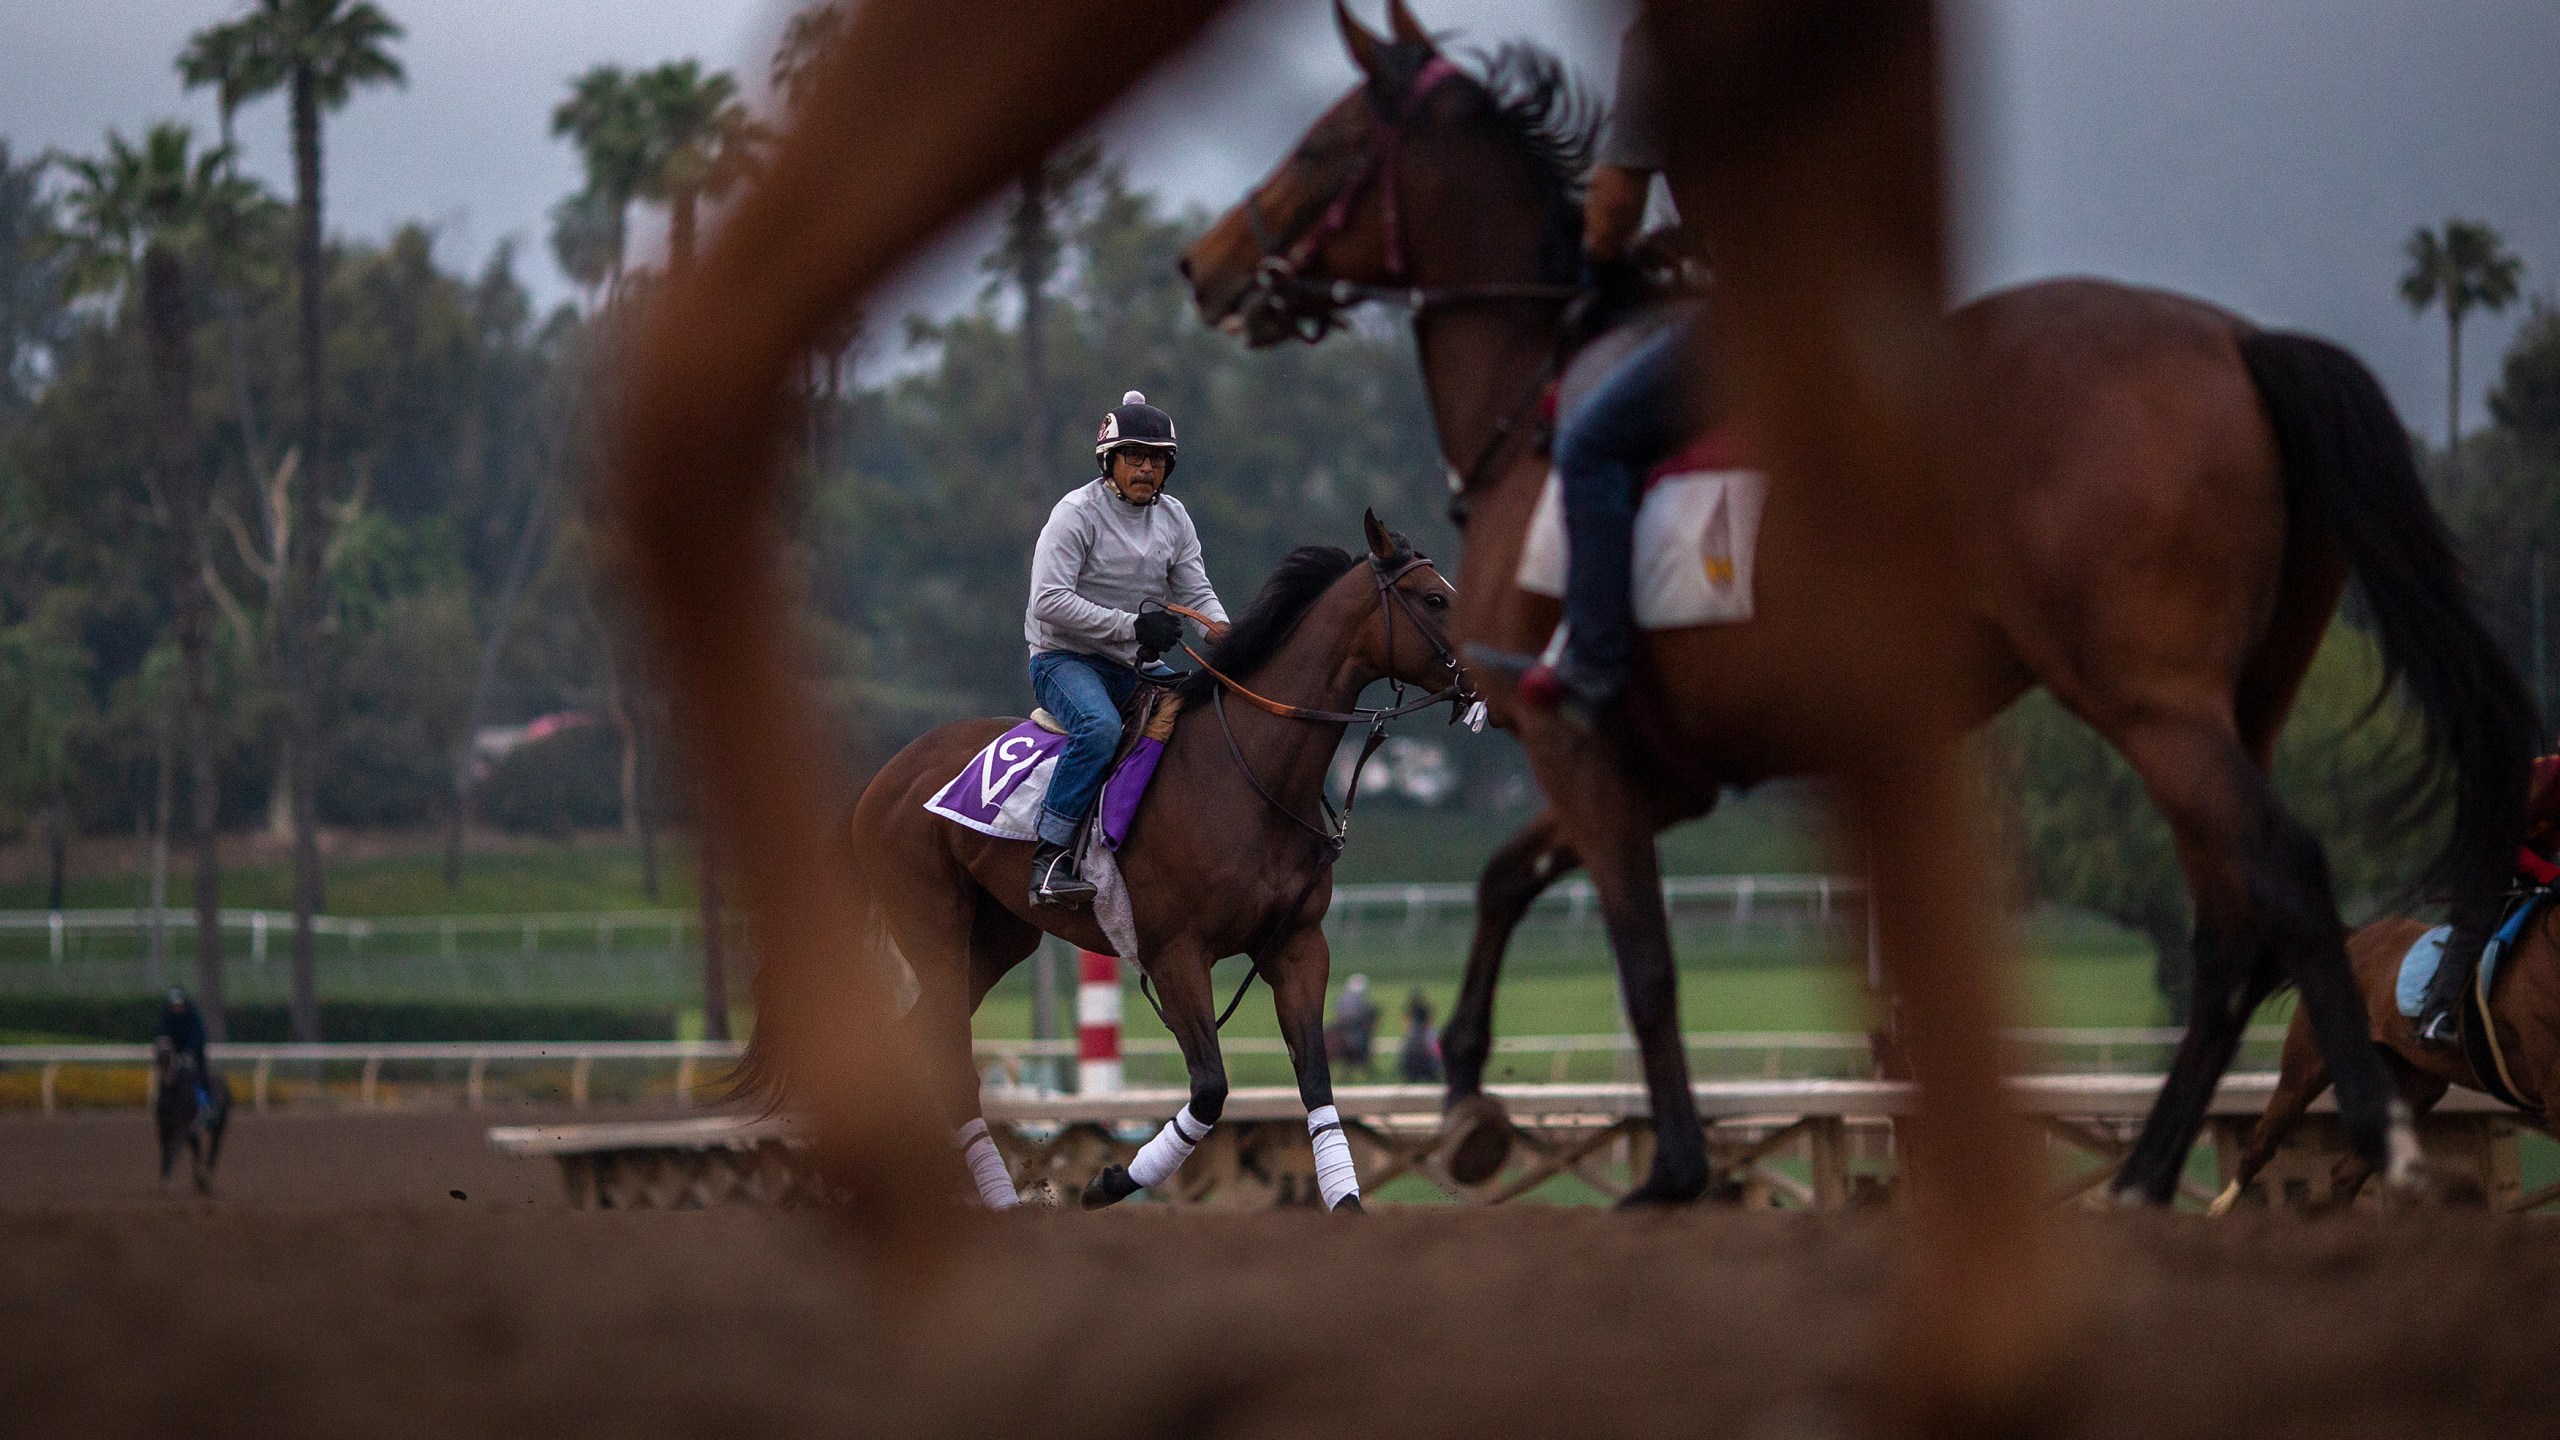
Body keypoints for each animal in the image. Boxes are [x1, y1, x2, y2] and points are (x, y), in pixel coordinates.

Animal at [737, 509, 1464, 1204]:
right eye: (1434, 598)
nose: (1481, 673)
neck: (1248, 775)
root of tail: (881, 780)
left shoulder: (1297, 944)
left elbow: (1316, 1085)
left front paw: (1347, 1205)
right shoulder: (1175, 952)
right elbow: (1209, 1090)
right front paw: (1109, 1182)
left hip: (999, 938)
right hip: (932, 927)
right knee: (947, 1065)